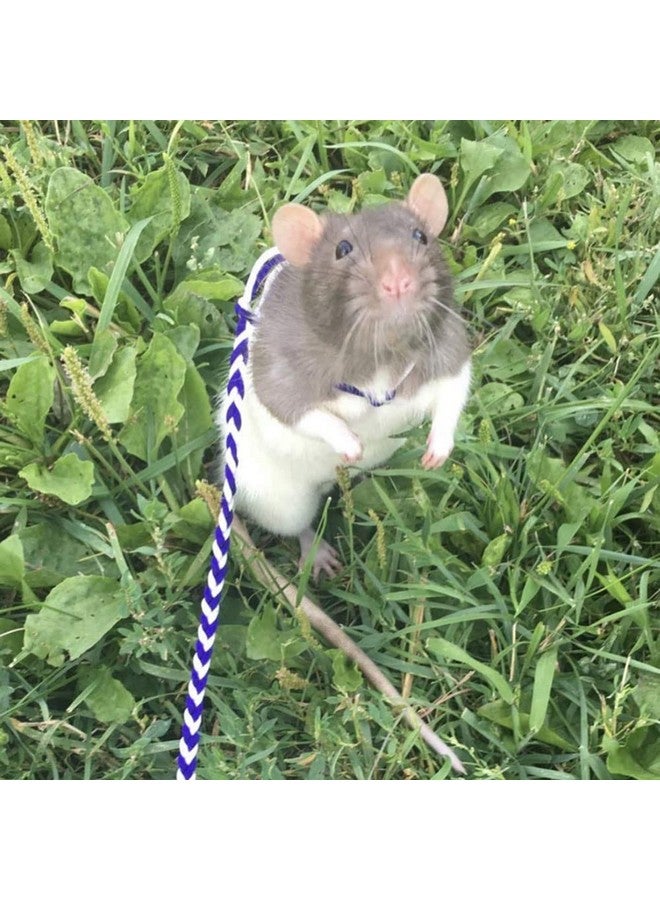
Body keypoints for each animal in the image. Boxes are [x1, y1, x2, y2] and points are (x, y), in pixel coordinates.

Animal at [220, 173, 471, 578]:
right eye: (342, 249)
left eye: (420, 236)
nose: (398, 282)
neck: (383, 358)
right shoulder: (281, 366)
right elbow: (292, 409)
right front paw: (349, 441)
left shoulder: (447, 341)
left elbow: (454, 387)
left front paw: (439, 446)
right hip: (279, 499)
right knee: (296, 525)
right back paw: (316, 550)